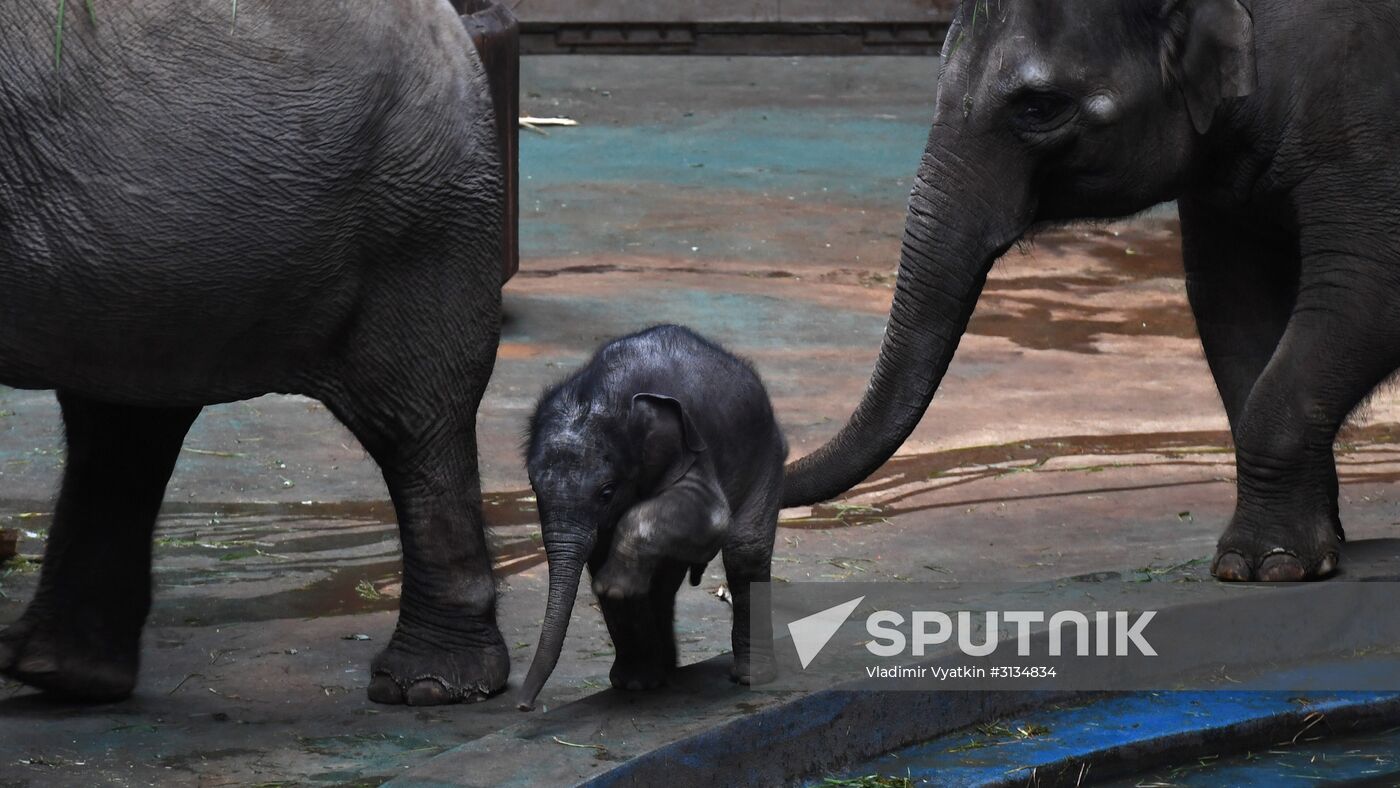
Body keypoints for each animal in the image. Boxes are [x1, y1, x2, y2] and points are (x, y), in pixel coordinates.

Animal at [0, 0, 514, 706]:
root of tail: (457, 31)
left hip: (416, 214)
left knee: (415, 422)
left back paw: (427, 687)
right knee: (122, 422)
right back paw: (59, 673)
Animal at [516, 325, 786, 711]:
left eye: (607, 492)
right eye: (532, 486)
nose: (524, 706)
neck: (605, 391)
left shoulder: (692, 447)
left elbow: (712, 517)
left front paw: (612, 587)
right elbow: (601, 556)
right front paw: (635, 684)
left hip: (765, 455)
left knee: (744, 552)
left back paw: (751, 677)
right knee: (665, 580)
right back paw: (664, 671)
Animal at [781, 0, 1400, 583]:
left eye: (1038, 107)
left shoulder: (1362, 120)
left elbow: (1368, 293)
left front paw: (1267, 566)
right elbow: (1232, 303)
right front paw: (1304, 552)